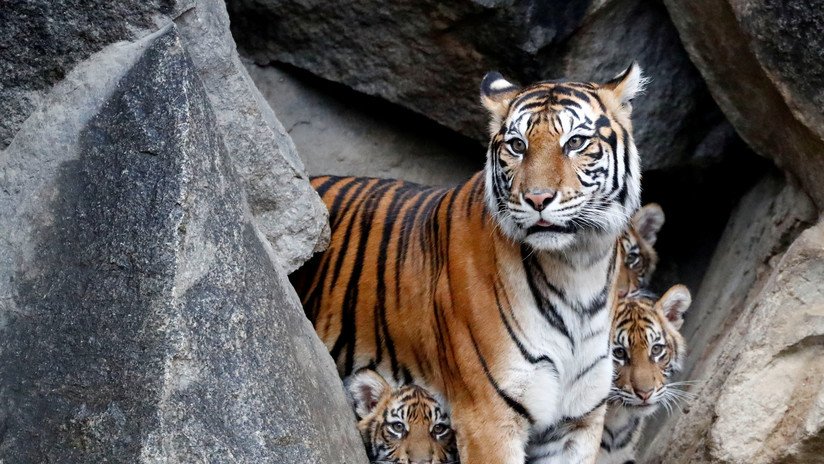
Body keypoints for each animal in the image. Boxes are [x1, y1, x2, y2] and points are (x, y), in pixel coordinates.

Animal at [291, 63, 646, 463]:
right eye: (518, 145)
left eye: (575, 142)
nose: (537, 198)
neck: (578, 268)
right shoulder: (488, 417)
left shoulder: (577, 424)